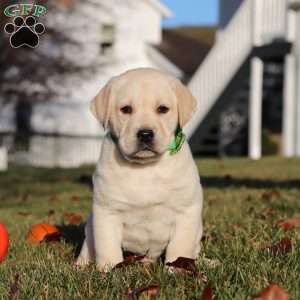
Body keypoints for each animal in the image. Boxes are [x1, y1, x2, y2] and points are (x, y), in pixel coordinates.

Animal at [77, 68, 204, 272]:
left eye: (162, 109)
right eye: (126, 109)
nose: (145, 134)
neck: (146, 168)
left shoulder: (186, 210)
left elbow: (180, 246)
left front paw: (177, 270)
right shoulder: (106, 211)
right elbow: (107, 245)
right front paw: (108, 269)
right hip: (90, 227)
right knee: (87, 246)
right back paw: (80, 265)